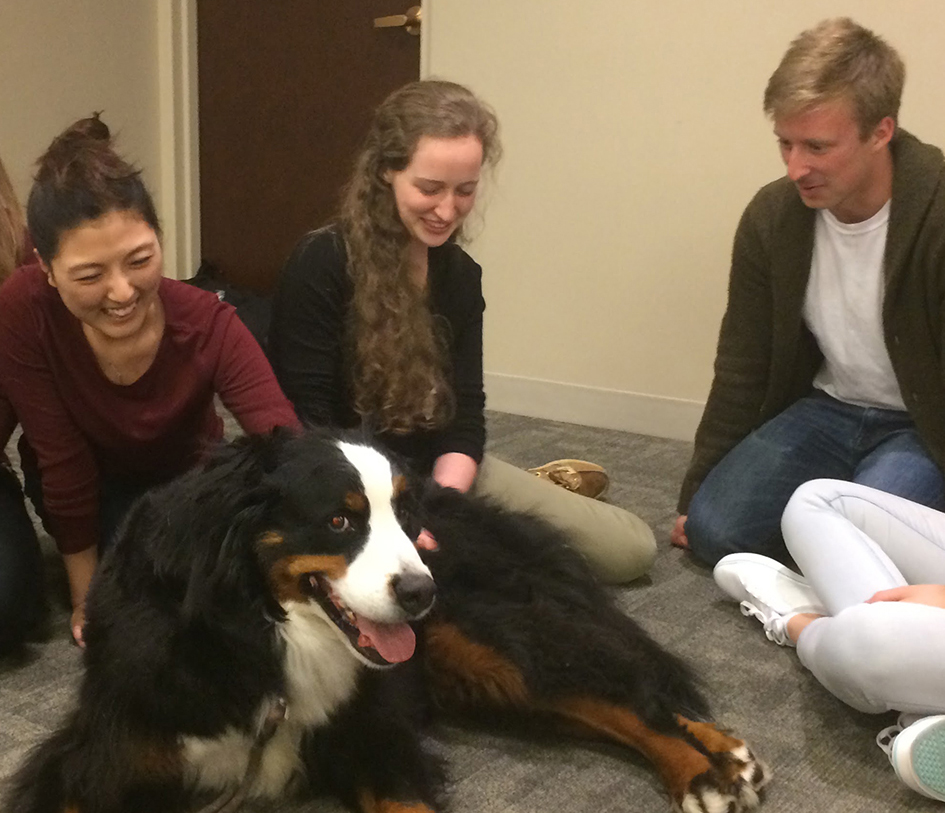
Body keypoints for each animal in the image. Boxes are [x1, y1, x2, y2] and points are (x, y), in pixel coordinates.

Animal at [5, 428, 768, 808]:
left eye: (404, 516)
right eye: (340, 520)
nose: (420, 592)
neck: (265, 635)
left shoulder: (376, 738)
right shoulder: (95, 760)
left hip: (493, 644)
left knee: (624, 694)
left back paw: (706, 772)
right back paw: (724, 756)